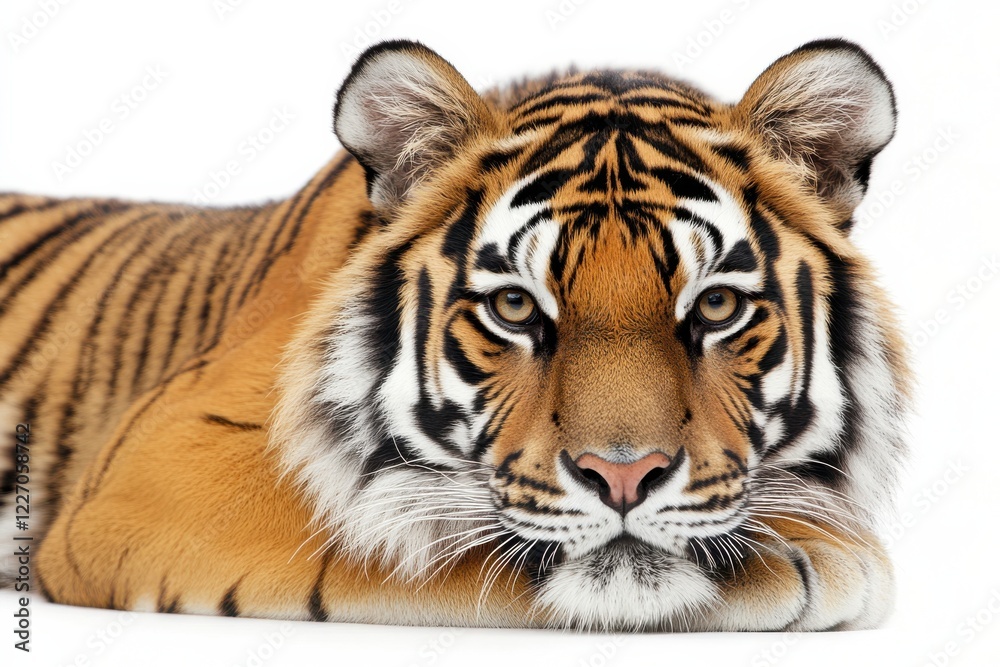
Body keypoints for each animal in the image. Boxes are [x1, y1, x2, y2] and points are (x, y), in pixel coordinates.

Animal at [0, 38, 910, 631]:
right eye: (514, 307)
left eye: (716, 307)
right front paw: (817, 553)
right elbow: (406, 530)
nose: (624, 476)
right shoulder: (161, 465)